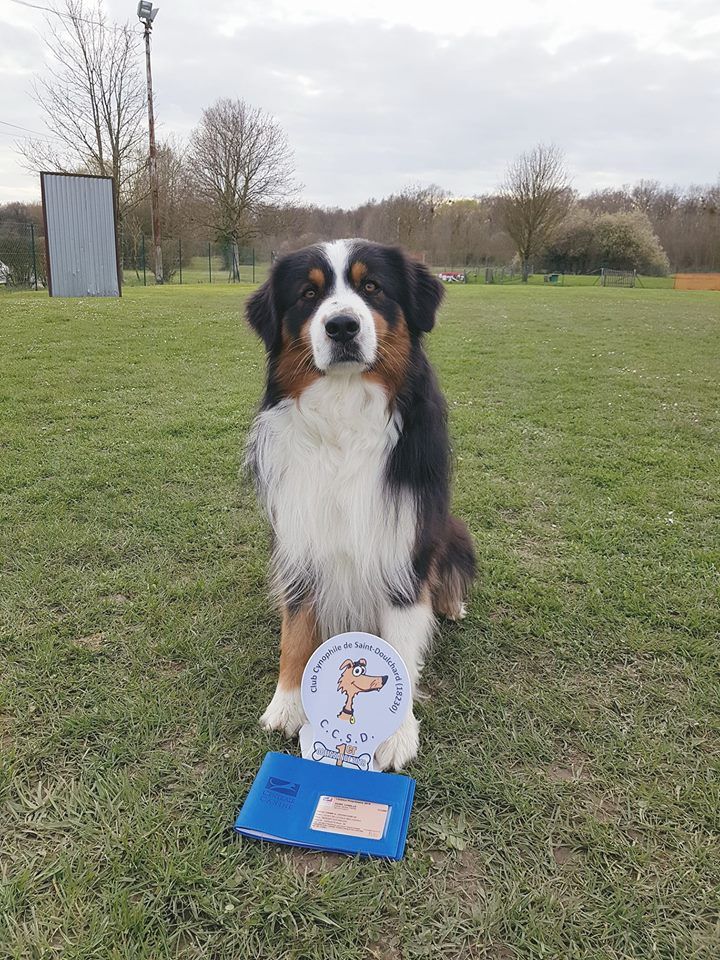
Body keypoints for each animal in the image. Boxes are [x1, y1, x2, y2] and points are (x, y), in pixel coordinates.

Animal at [245, 240, 476, 772]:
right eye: (308, 294)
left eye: (371, 287)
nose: (342, 326)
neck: (344, 407)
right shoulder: (301, 536)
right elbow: (295, 629)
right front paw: (287, 702)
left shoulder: (402, 545)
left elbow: (402, 639)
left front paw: (397, 733)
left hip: (452, 530)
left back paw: (451, 605)